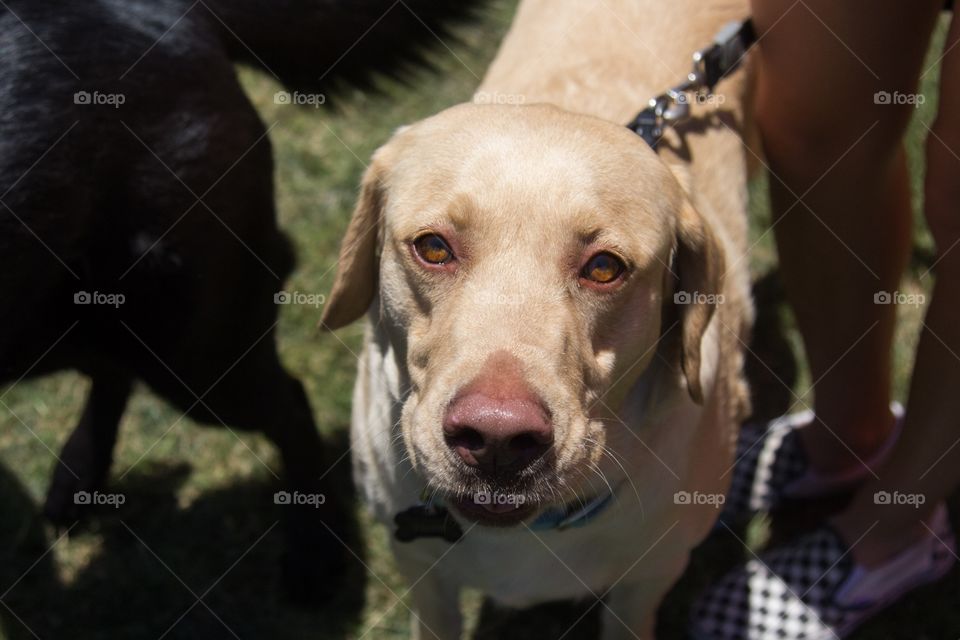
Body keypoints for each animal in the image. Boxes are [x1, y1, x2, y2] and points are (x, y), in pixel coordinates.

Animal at [0, 0, 484, 600]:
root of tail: (170, 9)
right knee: (113, 367)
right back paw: (79, 478)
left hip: (195, 347)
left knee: (287, 403)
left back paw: (314, 550)